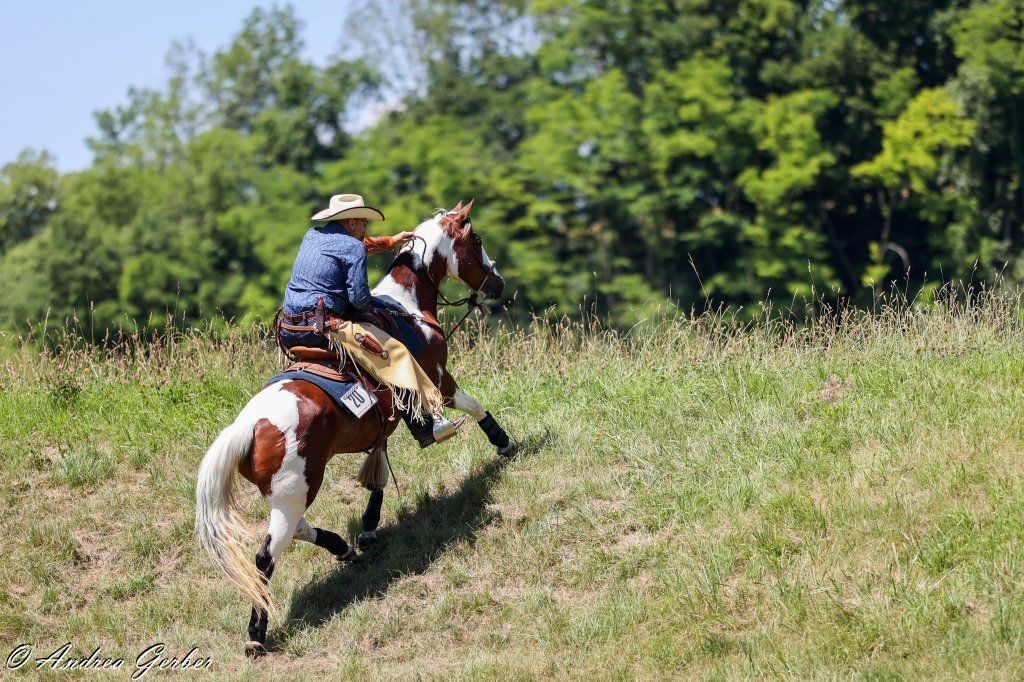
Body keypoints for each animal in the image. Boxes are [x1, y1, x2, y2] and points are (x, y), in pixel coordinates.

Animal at [194, 200, 514, 657]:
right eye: (477, 239)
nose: (498, 283)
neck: (407, 306)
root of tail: (248, 426)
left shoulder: (380, 427)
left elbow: (377, 474)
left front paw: (368, 528)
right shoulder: (437, 379)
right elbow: (470, 404)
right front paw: (502, 441)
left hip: (287, 495)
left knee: (298, 530)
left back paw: (344, 549)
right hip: (295, 491)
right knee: (266, 556)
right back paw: (257, 632)